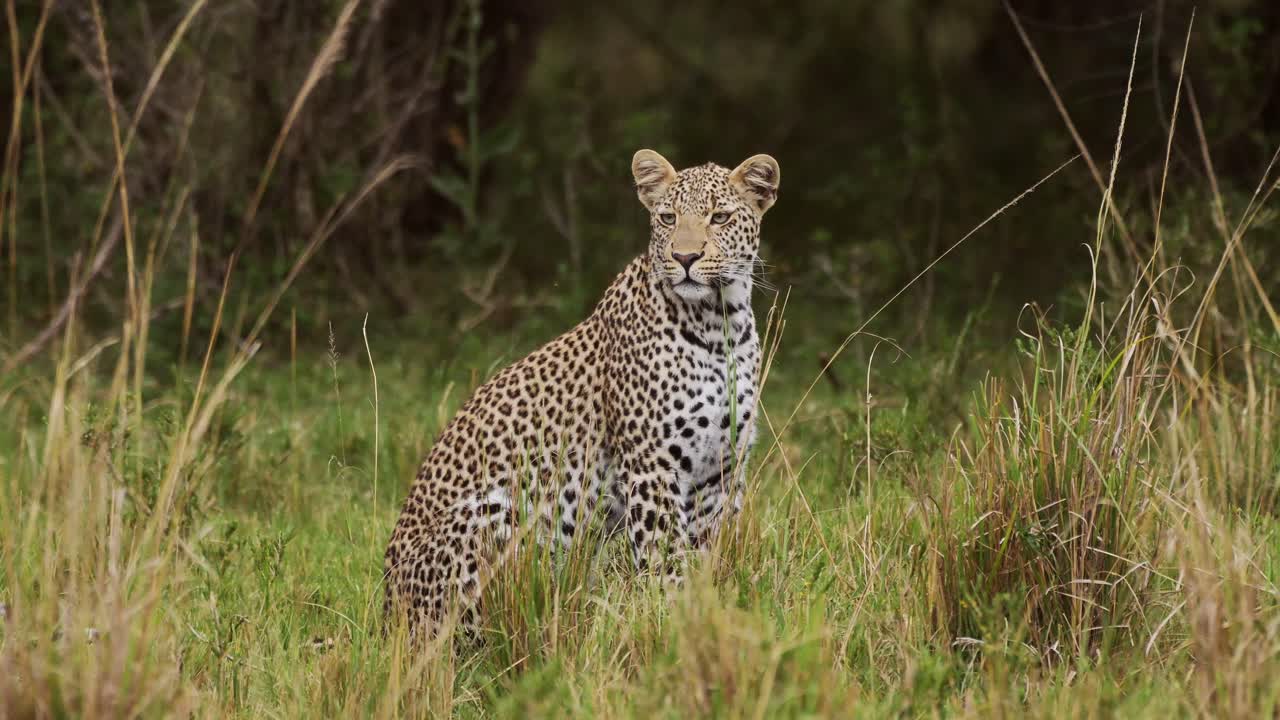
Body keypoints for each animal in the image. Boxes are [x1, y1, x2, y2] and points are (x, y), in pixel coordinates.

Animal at [383, 149, 780, 636]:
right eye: (667, 218)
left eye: (719, 217)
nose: (684, 256)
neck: (719, 323)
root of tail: (386, 609)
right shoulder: (652, 467)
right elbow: (664, 557)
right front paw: (670, 621)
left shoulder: (720, 470)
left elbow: (706, 554)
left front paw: (702, 614)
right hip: (499, 512)